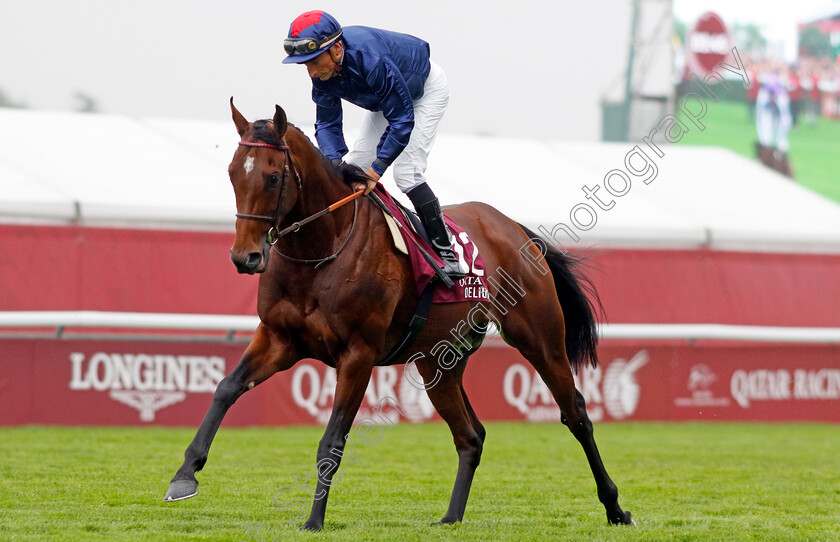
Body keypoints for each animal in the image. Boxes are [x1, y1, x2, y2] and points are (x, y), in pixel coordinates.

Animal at [164, 101, 632, 532]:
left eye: (273, 176)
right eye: (232, 173)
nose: (245, 257)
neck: (320, 250)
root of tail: (517, 229)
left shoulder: (358, 354)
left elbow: (333, 440)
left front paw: (313, 520)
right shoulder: (279, 338)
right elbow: (226, 388)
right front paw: (184, 476)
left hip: (540, 339)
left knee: (576, 414)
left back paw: (615, 506)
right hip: (439, 362)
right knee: (471, 435)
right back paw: (451, 517)